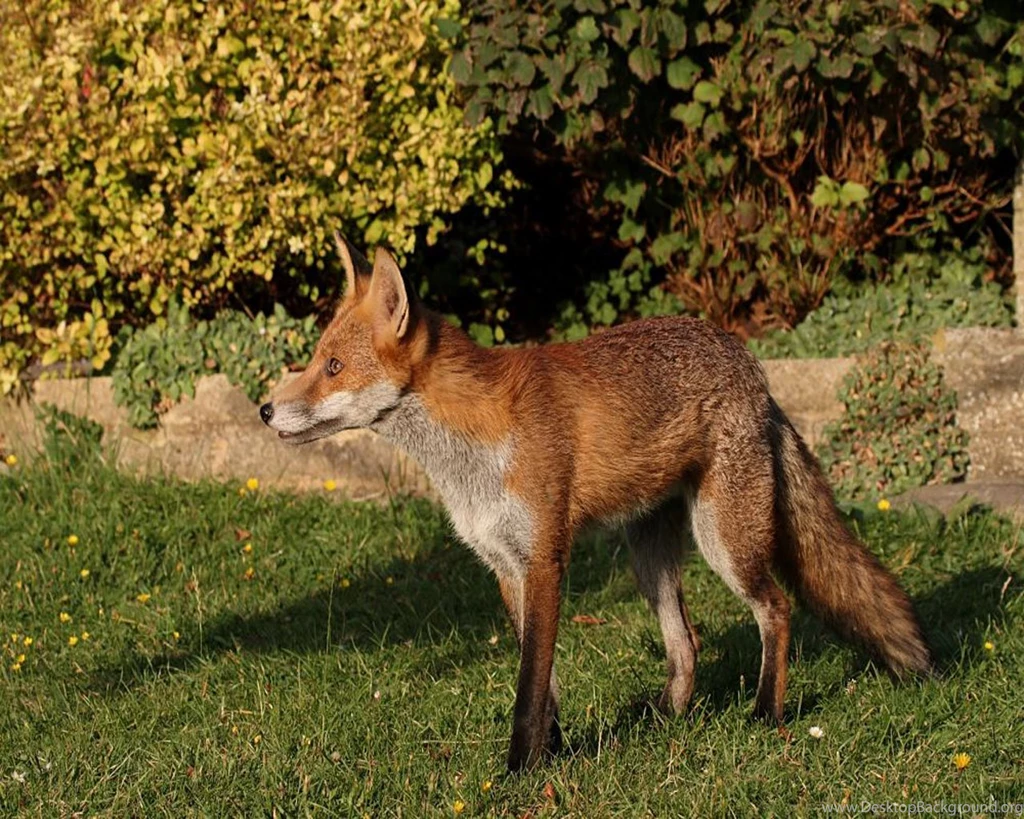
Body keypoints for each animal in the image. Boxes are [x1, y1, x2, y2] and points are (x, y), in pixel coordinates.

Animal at [259, 236, 933, 772]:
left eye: (333, 367)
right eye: (316, 360)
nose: (265, 409)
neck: (473, 446)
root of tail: (752, 366)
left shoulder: (545, 559)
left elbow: (528, 688)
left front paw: (519, 771)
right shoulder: (505, 565)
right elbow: (546, 684)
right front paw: (553, 754)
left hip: (725, 542)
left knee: (777, 608)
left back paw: (766, 713)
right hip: (648, 559)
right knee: (687, 645)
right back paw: (664, 721)